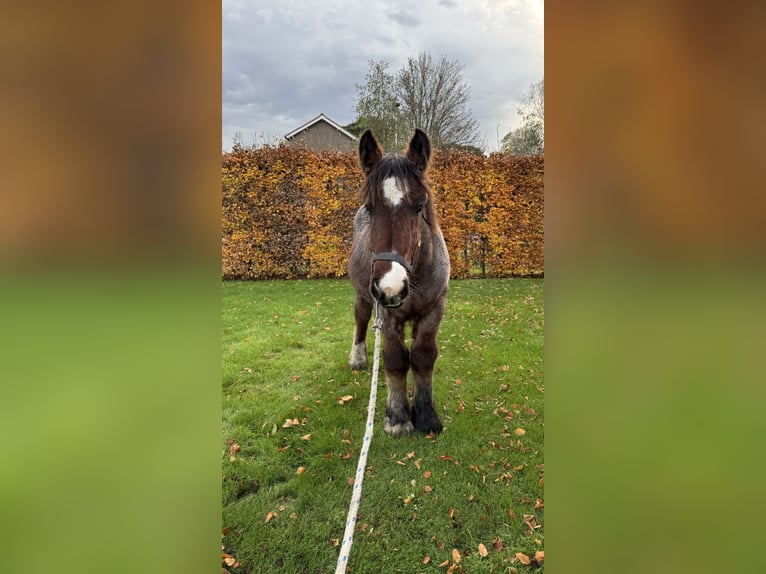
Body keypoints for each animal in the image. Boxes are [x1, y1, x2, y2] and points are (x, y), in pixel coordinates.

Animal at [348, 129, 450, 436]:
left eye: (419, 208)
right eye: (370, 207)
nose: (390, 286)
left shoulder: (434, 308)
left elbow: (423, 355)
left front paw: (426, 415)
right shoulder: (387, 312)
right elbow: (394, 359)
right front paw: (397, 416)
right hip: (364, 297)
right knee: (361, 318)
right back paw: (358, 358)